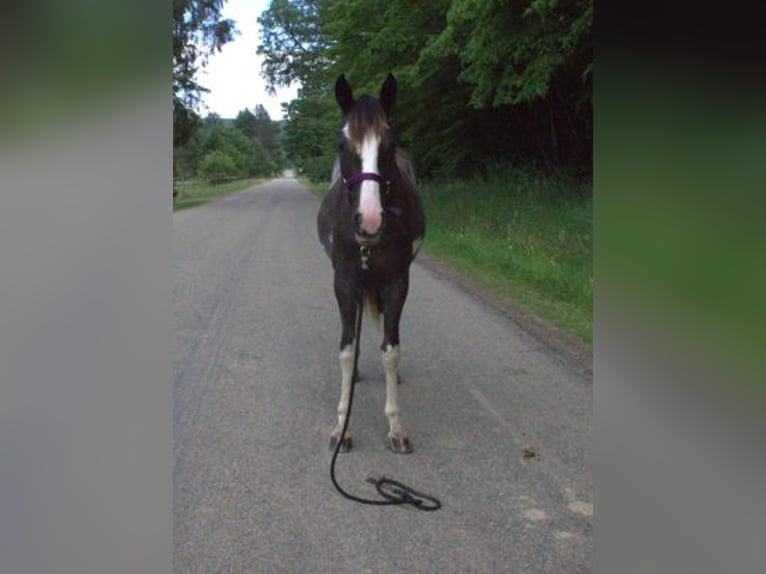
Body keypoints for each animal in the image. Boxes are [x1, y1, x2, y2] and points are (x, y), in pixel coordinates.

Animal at [317, 73, 426, 454]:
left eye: (389, 144)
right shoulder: (345, 281)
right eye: (341, 142)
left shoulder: (397, 281)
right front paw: (341, 426)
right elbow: (347, 350)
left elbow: (391, 351)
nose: (369, 221)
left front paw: (395, 426)